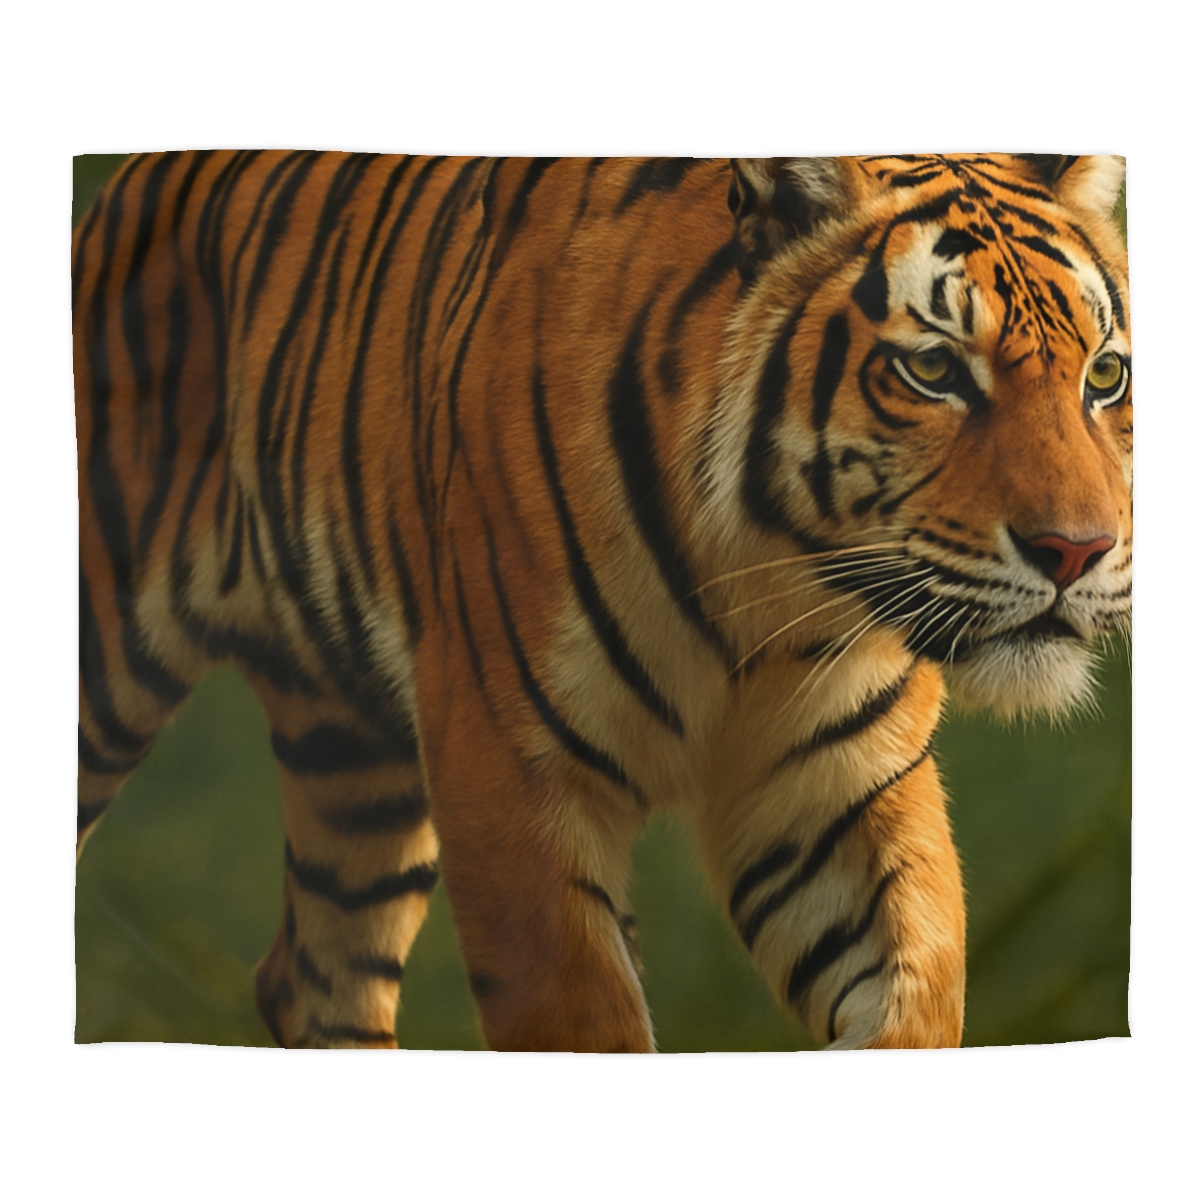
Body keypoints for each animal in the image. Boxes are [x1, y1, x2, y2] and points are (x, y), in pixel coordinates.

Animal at [74, 153, 1132, 1051]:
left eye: (1104, 374)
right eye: (933, 369)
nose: (1078, 551)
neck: (772, 581)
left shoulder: (840, 789)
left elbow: (916, 993)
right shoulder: (512, 775)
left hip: (357, 754)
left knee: (317, 973)